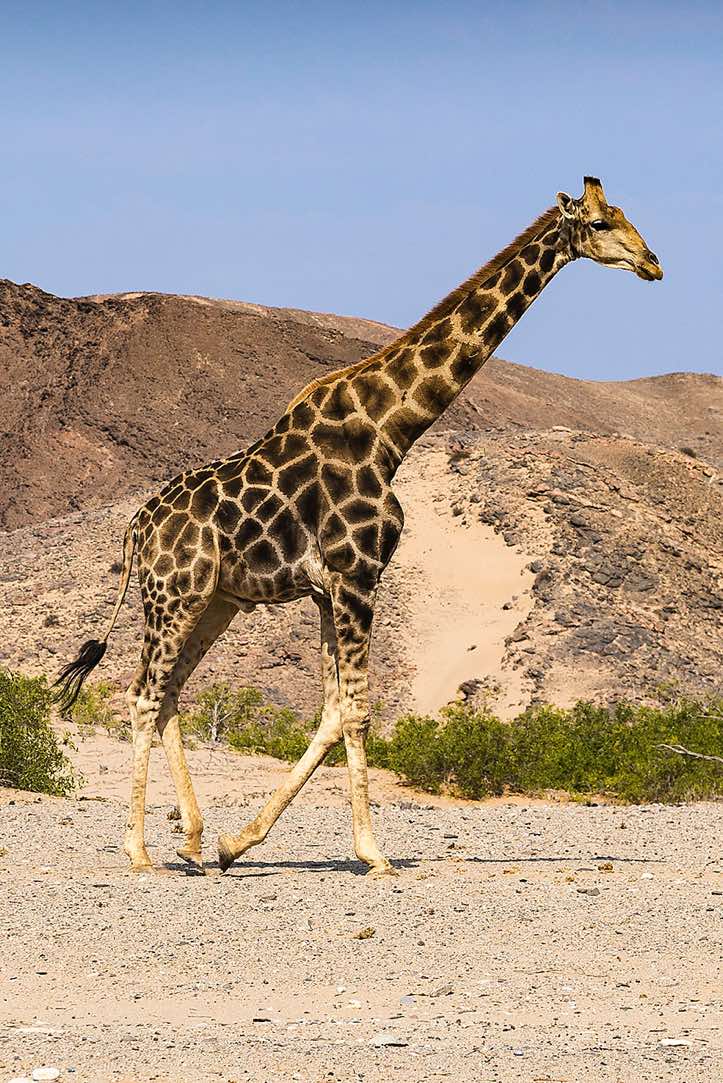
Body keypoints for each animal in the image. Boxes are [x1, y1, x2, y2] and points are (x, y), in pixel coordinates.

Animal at [56, 177, 662, 875]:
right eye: (599, 223)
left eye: (625, 215)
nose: (653, 263)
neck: (390, 431)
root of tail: (135, 528)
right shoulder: (356, 577)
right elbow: (358, 712)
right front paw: (374, 852)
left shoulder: (329, 589)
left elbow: (331, 712)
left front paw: (241, 843)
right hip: (172, 594)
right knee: (142, 694)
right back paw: (138, 850)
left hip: (216, 600)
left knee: (172, 690)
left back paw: (194, 840)